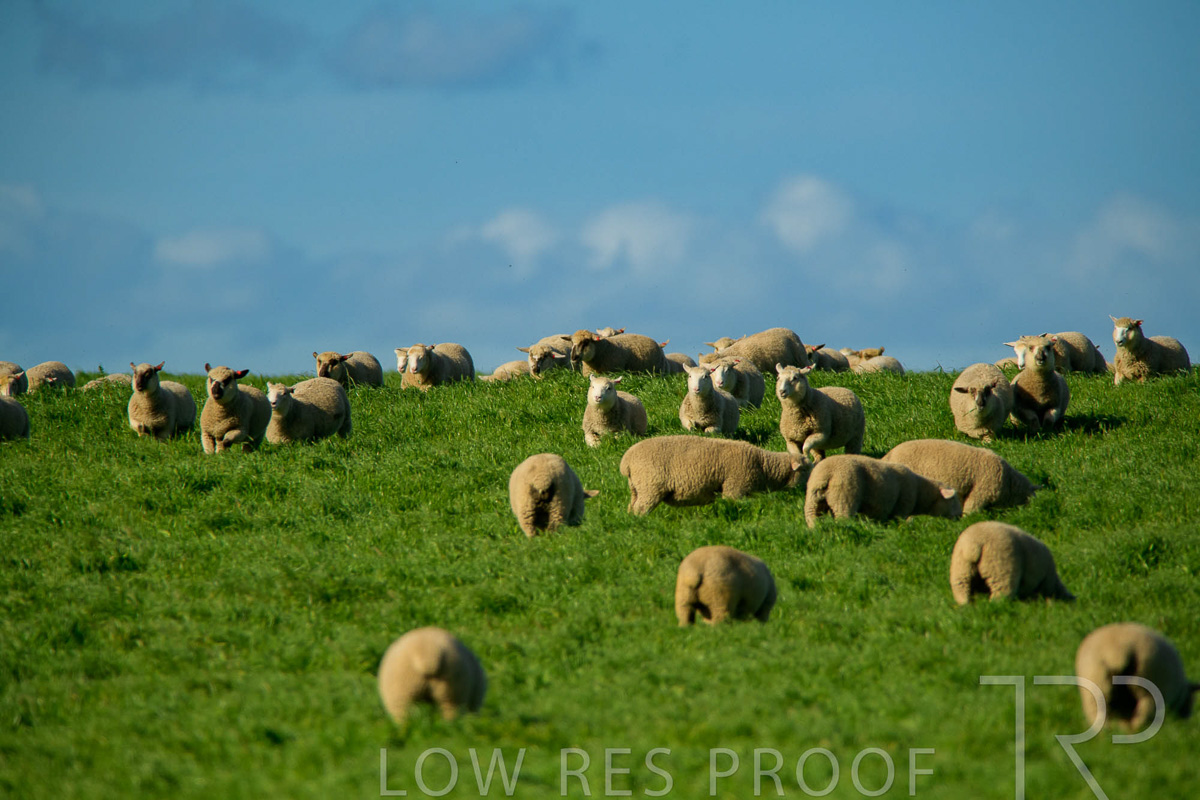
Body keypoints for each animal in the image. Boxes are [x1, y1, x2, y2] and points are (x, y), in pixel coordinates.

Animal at [619, 435, 806, 515]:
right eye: (805, 469)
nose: (808, 490)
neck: (763, 465)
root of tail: (626, 461)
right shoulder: (734, 488)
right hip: (650, 486)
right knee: (641, 508)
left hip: (637, 487)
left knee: (631, 507)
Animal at [804, 454, 962, 527]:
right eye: (954, 499)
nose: (961, 517)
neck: (920, 492)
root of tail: (827, 474)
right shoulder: (901, 508)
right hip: (844, 495)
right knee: (843, 518)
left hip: (813, 498)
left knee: (812, 517)